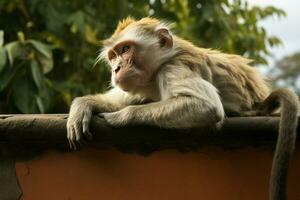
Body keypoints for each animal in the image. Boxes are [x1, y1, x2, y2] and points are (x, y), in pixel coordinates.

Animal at [67, 17, 298, 200]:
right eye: (113, 56)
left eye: (125, 49)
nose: (116, 69)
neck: (166, 59)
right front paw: (82, 106)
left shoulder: (172, 69)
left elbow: (207, 106)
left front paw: (121, 116)